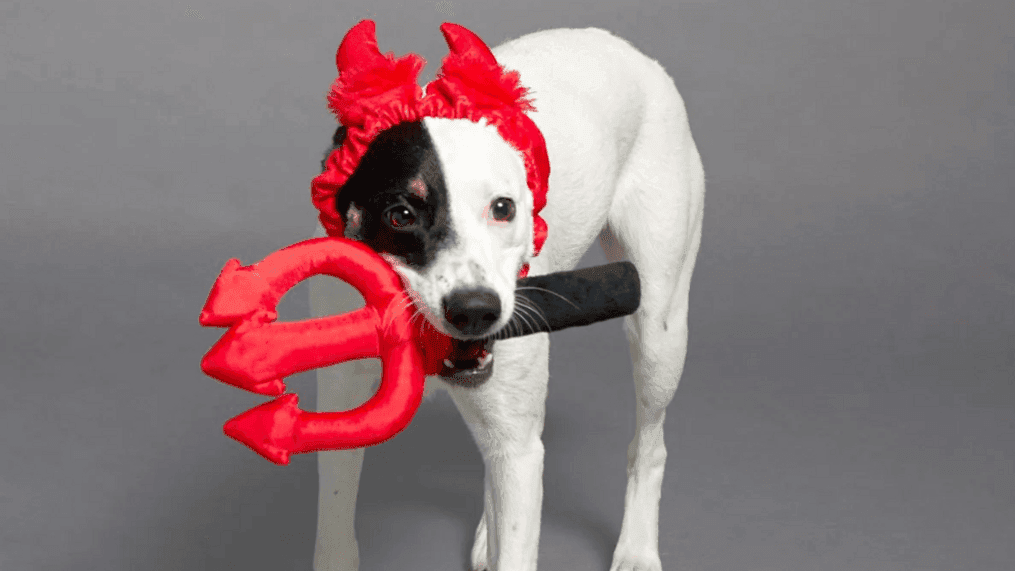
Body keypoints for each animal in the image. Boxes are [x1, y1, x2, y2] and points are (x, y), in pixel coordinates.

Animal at [308, 24, 706, 567]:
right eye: (400, 214)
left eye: (504, 208)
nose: (476, 311)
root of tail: (617, 43)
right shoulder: (342, 413)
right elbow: (333, 525)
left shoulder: (518, 447)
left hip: (659, 332)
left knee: (650, 446)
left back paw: (638, 550)